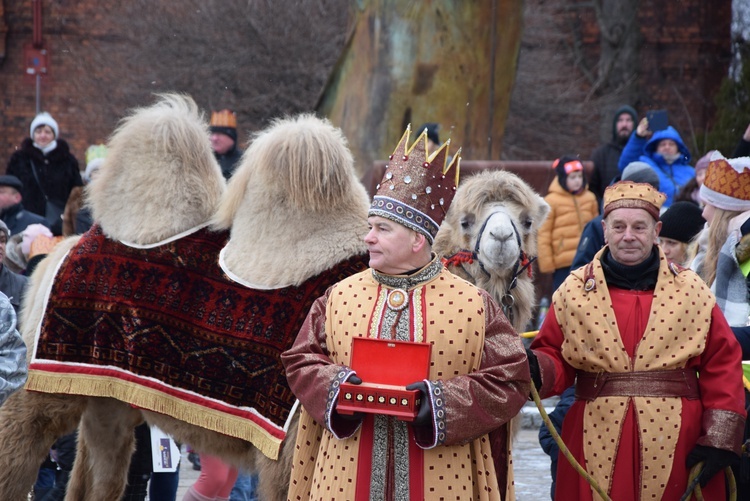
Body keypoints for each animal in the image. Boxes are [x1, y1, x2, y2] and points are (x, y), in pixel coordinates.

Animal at [0, 94, 370, 500]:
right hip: (46, 379)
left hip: (108, 395)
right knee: (20, 438)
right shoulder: (285, 455)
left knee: (99, 471)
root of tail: (73, 242)